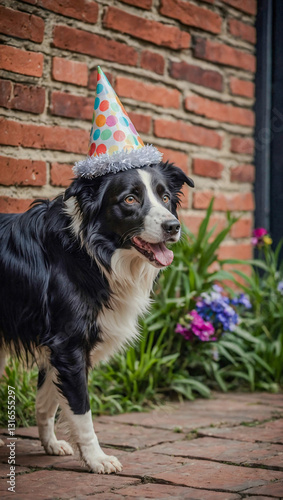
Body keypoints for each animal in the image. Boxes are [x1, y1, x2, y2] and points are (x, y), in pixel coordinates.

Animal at [0, 161, 194, 472]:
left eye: (165, 198)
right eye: (130, 199)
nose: (173, 226)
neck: (89, 254)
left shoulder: (54, 347)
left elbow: (46, 401)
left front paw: (50, 444)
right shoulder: (68, 344)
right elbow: (81, 409)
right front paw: (96, 458)